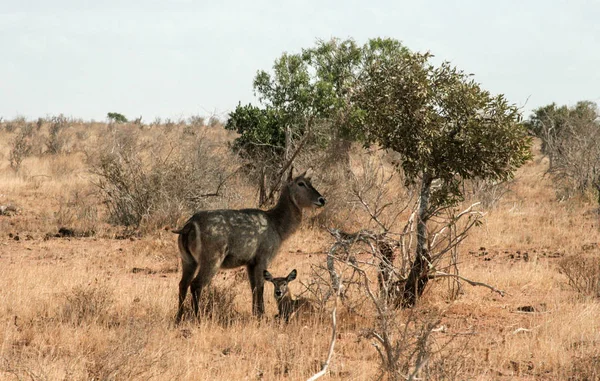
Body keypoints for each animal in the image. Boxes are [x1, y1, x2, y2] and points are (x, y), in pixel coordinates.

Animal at [171, 171, 326, 322]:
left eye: (310, 182)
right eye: (301, 183)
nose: (322, 200)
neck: (275, 223)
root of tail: (190, 224)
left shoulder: (250, 263)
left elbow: (253, 288)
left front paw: (255, 314)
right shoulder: (262, 259)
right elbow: (261, 287)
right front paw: (262, 316)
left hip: (188, 261)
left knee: (183, 284)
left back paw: (179, 318)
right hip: (211, 261)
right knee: (196, 285)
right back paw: (198, 318)